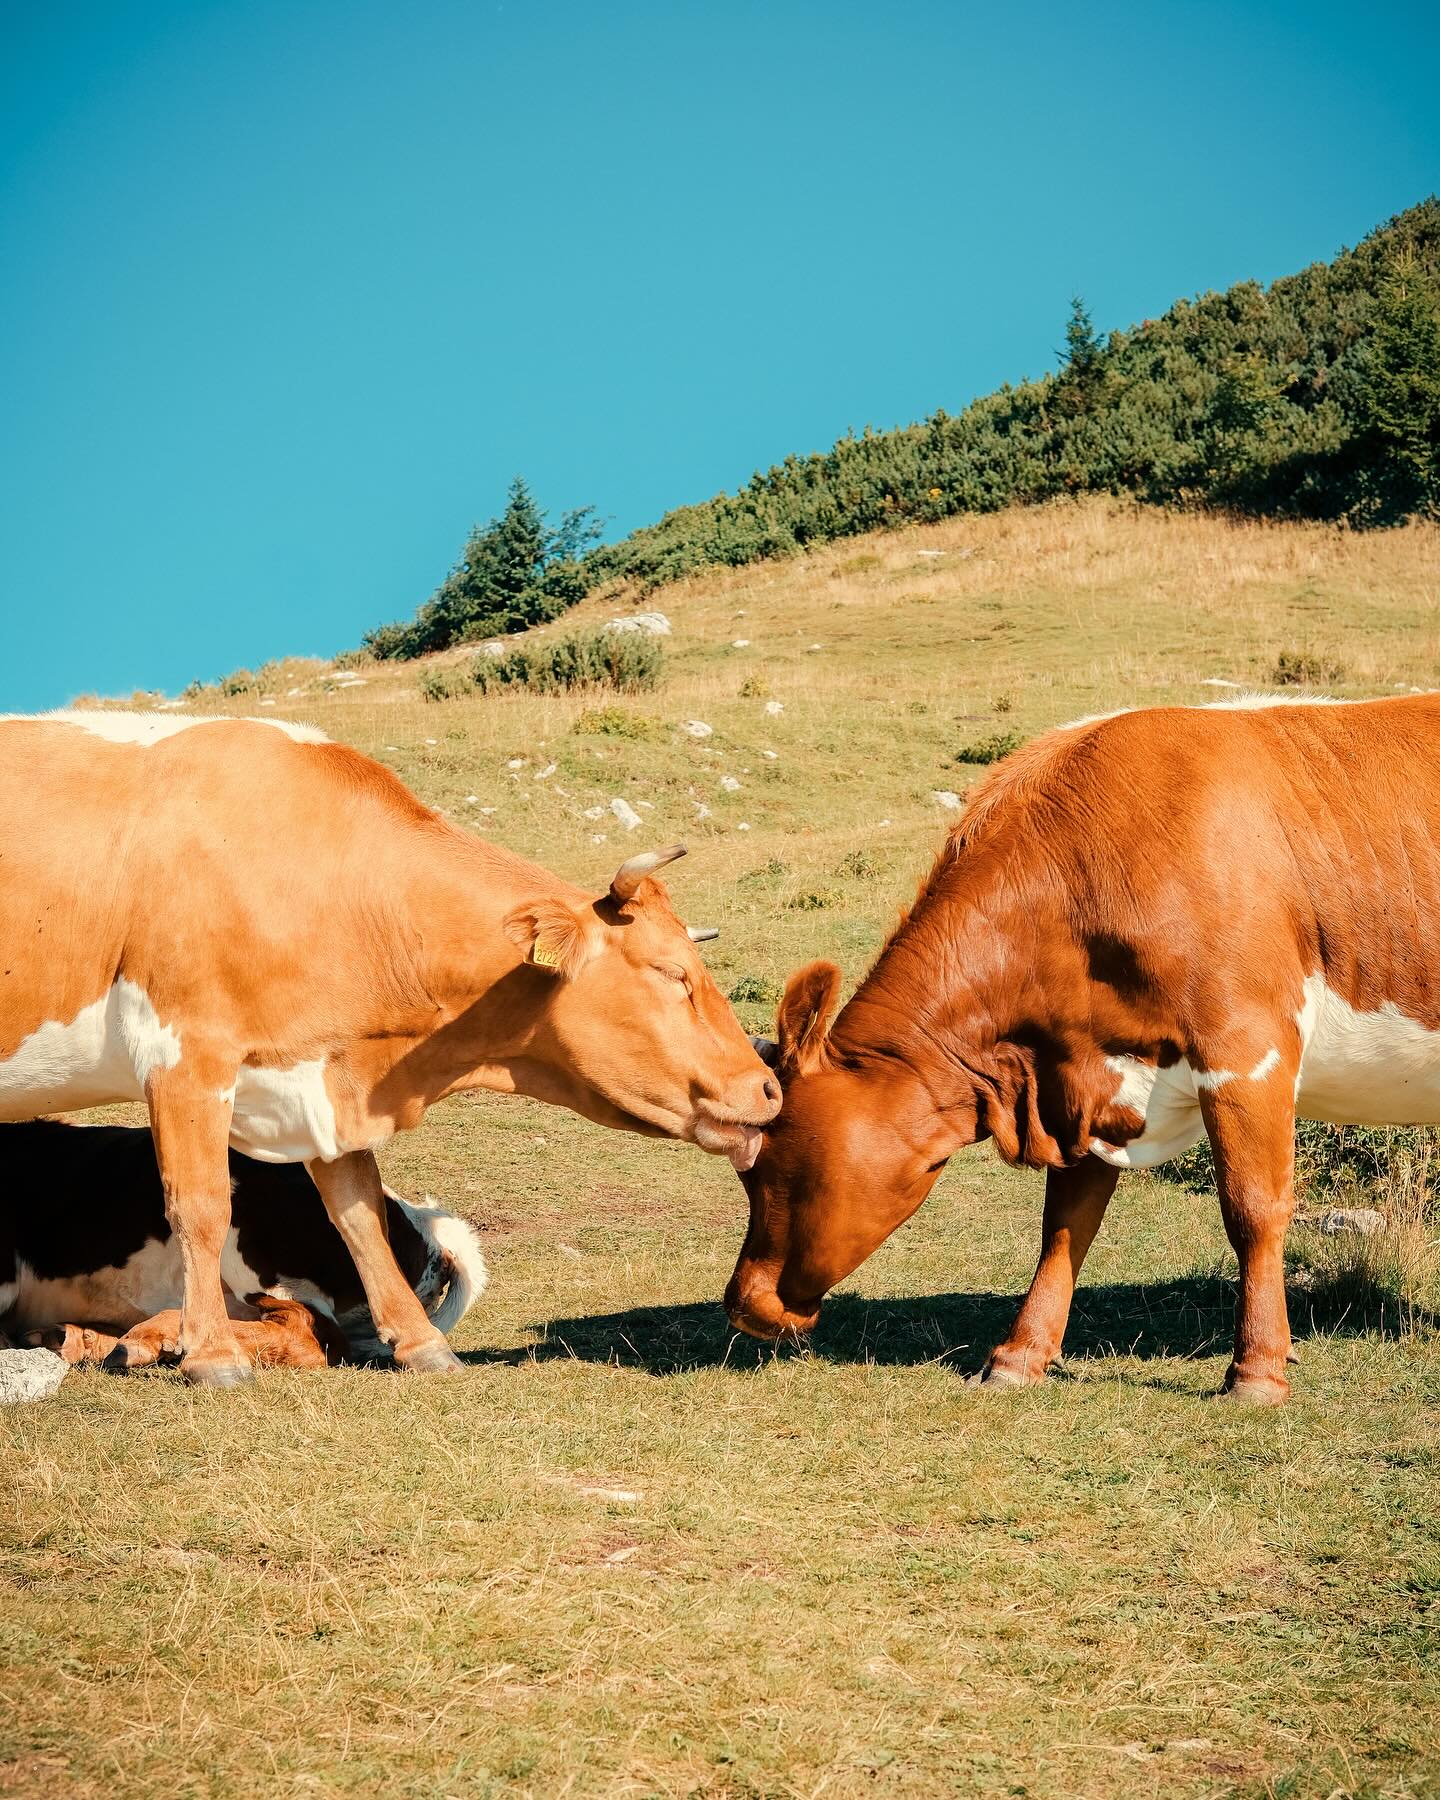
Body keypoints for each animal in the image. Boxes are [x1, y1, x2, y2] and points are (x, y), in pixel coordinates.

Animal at [727, 693, 1440, 1405]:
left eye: (769, 1163)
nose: (742, 1304)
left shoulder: (1245, 1049)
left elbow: (1253, 1209)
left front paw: (1257, 1371)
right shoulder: (1085, 1078)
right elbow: (1067, 1222)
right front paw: (1020, 1355)